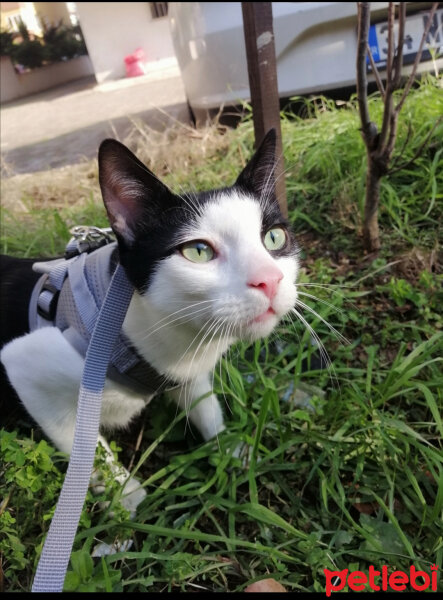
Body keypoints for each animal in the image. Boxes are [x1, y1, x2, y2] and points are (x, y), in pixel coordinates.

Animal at [0, 129, 298, 508]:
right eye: (198, 252)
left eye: (274, 237)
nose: (270, 280)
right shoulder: (27, 365)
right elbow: (86, 453)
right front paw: (127, 500)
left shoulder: (187, 372)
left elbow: (204, 405)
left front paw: (228, 448)